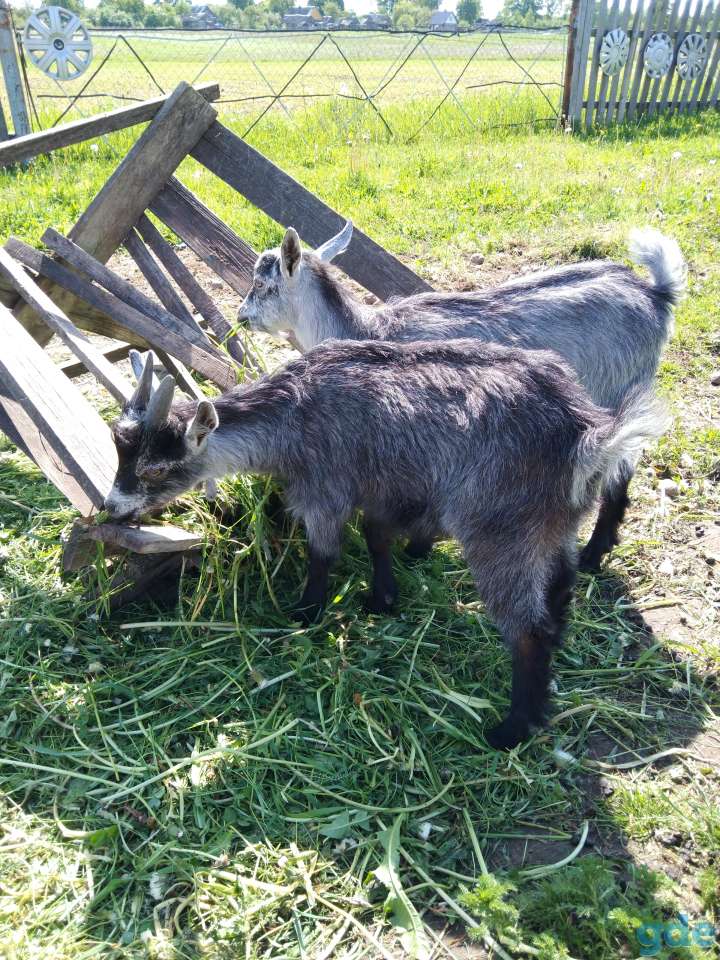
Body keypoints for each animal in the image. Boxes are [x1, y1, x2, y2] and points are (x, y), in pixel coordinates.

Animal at [104, 341, 664, 749]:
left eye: (155, 470)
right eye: (119, 451)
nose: (111, 508)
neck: (294, 414)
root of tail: (585, 436)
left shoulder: (325, 487)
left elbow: (323, 551)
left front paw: (305, 611)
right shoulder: (379, 485)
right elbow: (376, 539)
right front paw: (382, 598)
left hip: (500, 530)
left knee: (529, 629)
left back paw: (510, 730)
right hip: (553, 527)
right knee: (561, 587)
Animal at [238, 224, 685, 570]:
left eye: (262, 285)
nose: (242, 318)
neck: (365, 330)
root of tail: (654, 293)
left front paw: (415, 549)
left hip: (618, 388)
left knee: (618, 467)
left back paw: (594, 552)